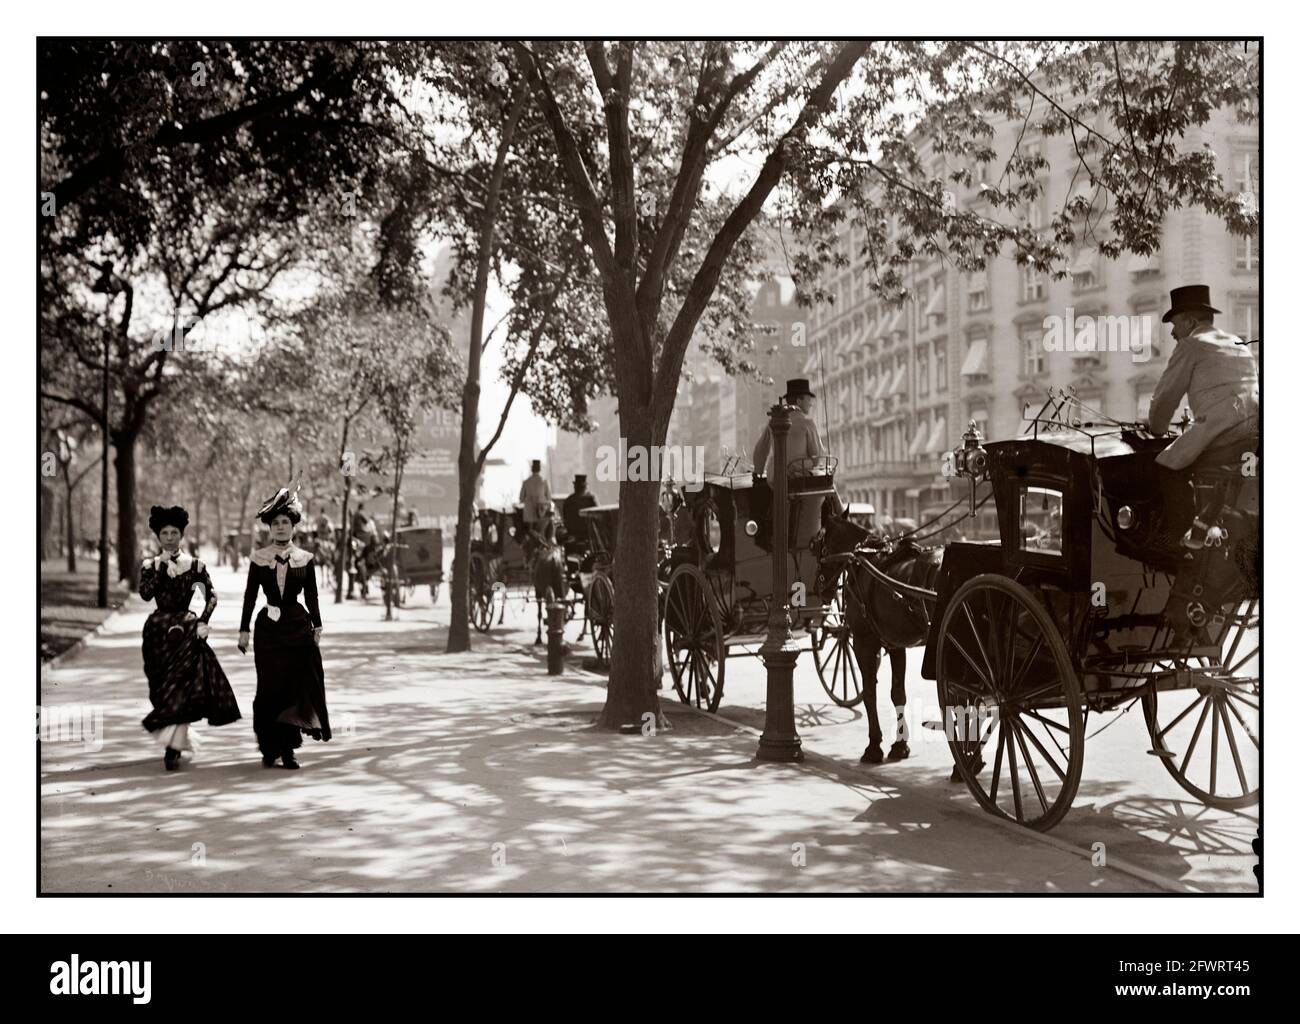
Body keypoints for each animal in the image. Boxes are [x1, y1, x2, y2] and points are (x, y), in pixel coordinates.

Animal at [821, 517, 946, 764]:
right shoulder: (896, 644)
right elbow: (898, 693)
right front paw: (900, 746)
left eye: (818, 545)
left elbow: (869, 692)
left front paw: (873, 746)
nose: (819, 588)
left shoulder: (863, 643)